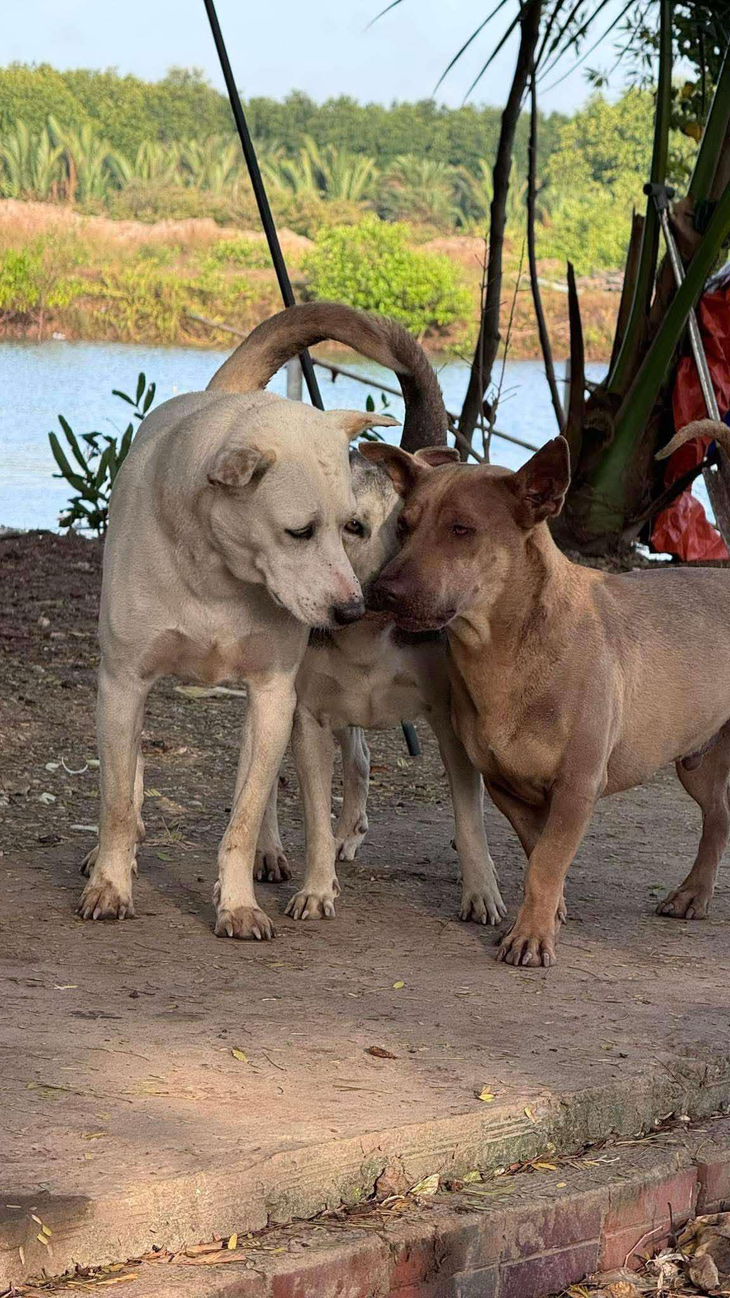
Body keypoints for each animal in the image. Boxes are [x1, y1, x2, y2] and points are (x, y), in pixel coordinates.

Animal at [361, 420, 727, 970]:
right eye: (403, 526)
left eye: (462, 530)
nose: (381, 591)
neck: (503, 652)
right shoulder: (505, 787)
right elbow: (539, 855)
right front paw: (549, 916)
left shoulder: (577, 788)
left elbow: (547, 862)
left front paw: (531, 937)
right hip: (697, 764)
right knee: (718, 819)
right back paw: (693, 894)